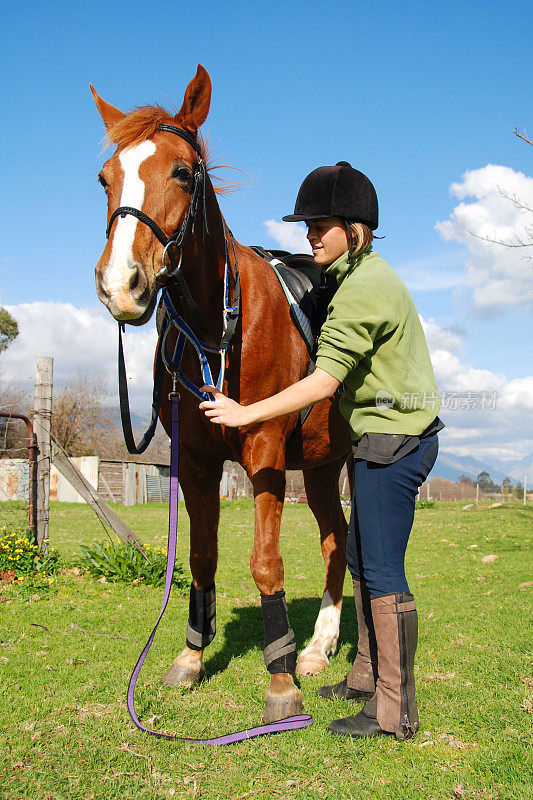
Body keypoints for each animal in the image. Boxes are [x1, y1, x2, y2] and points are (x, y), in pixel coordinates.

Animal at [92, 65, 350, 720]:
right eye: (105, 178)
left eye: (183, 173)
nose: (120, 285)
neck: (217, 326)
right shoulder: (198, 461)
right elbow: (202, 556)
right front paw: (191, 656)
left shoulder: (262, 453)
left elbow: (265, 564)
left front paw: (281, 681)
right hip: (318, 467)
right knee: (335, 541)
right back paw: (320, 645)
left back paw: (319, 650)